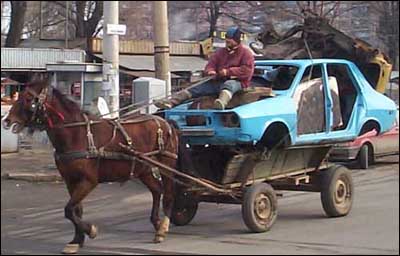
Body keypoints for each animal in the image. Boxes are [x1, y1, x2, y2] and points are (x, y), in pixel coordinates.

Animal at [1, 81, 180, 253]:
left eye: (28, 99)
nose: (6, 121)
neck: (76, 134)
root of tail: (165, 122)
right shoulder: (71, 181)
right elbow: (76, 210)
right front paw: (76, 240)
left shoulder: (88, 181)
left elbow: (68, 210)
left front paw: (90, 230)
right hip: (144, 169)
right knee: (156, 191)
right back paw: (157, 224)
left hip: (166, 164)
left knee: (169, 193)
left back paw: (163, 227)